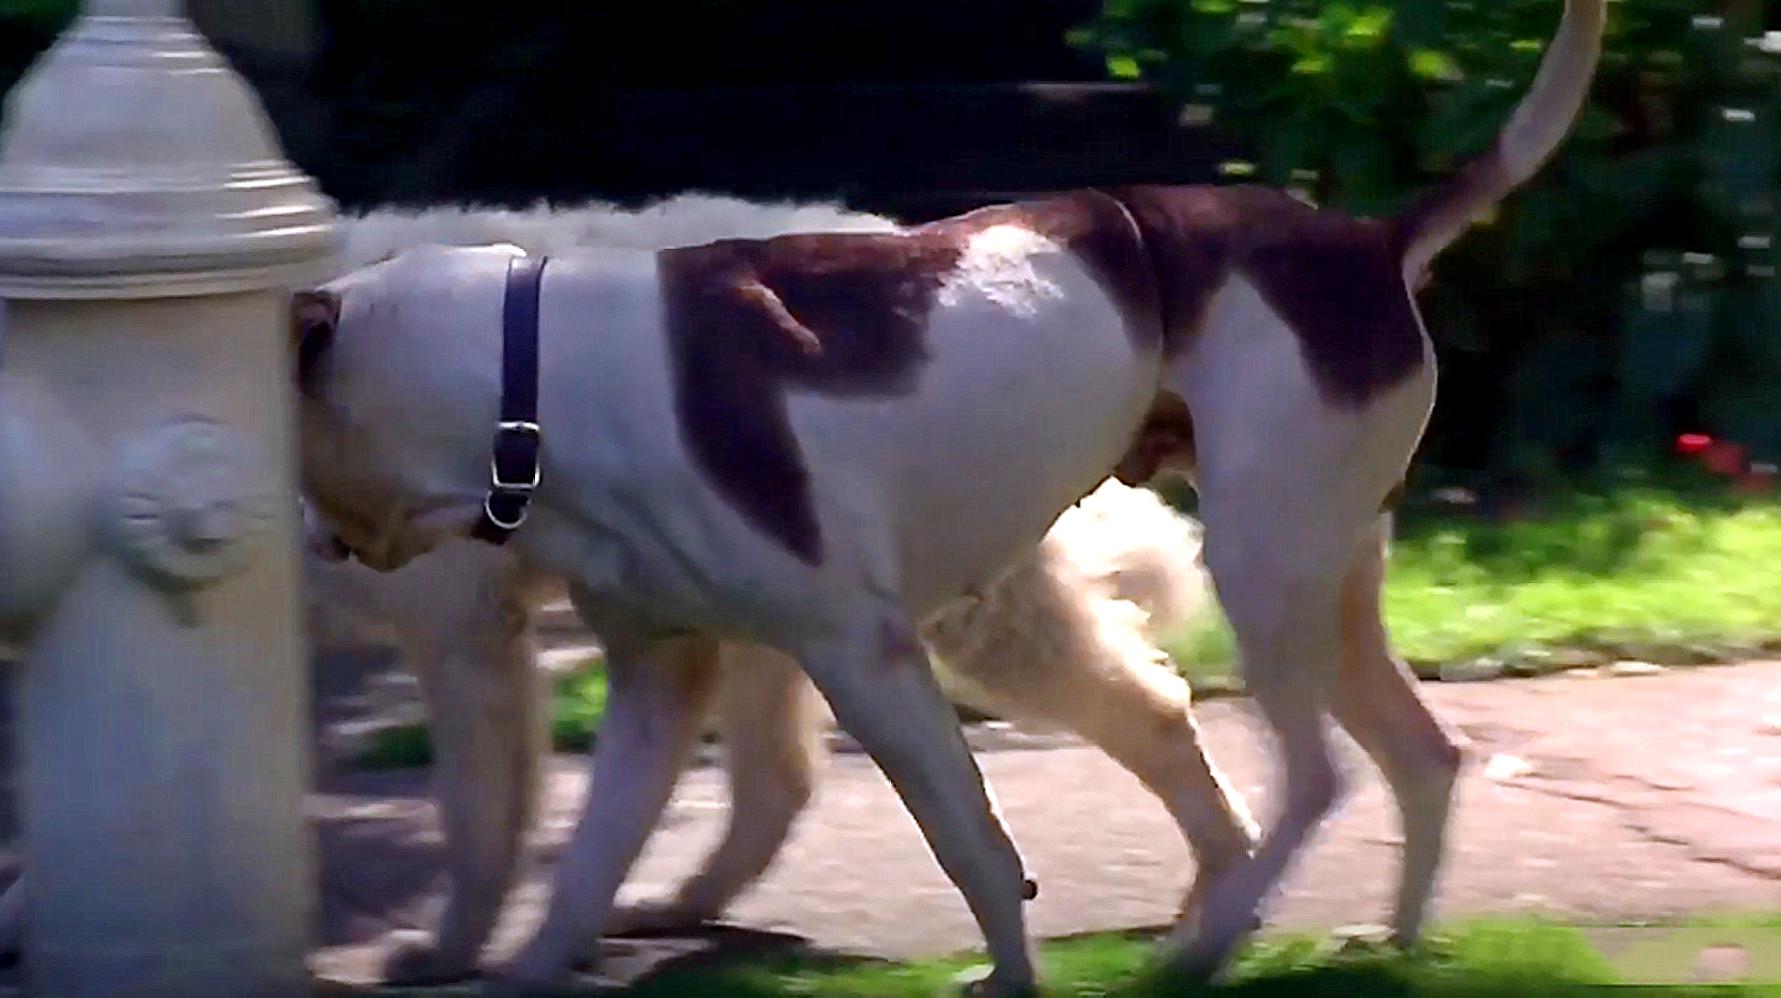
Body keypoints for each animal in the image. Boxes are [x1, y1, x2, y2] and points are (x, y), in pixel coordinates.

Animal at [292, 1, 1602, 990]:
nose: (289, 542)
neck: (529, 371)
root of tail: (1366, 241)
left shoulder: (862, 656)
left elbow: (970, 841)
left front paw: (1010, 973)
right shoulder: (660, 674)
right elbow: (579, 869)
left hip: (1258, 568)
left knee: (1311, 772)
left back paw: (1204, 944)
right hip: (1327, 573)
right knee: (1418, 754)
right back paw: (1388, 942)